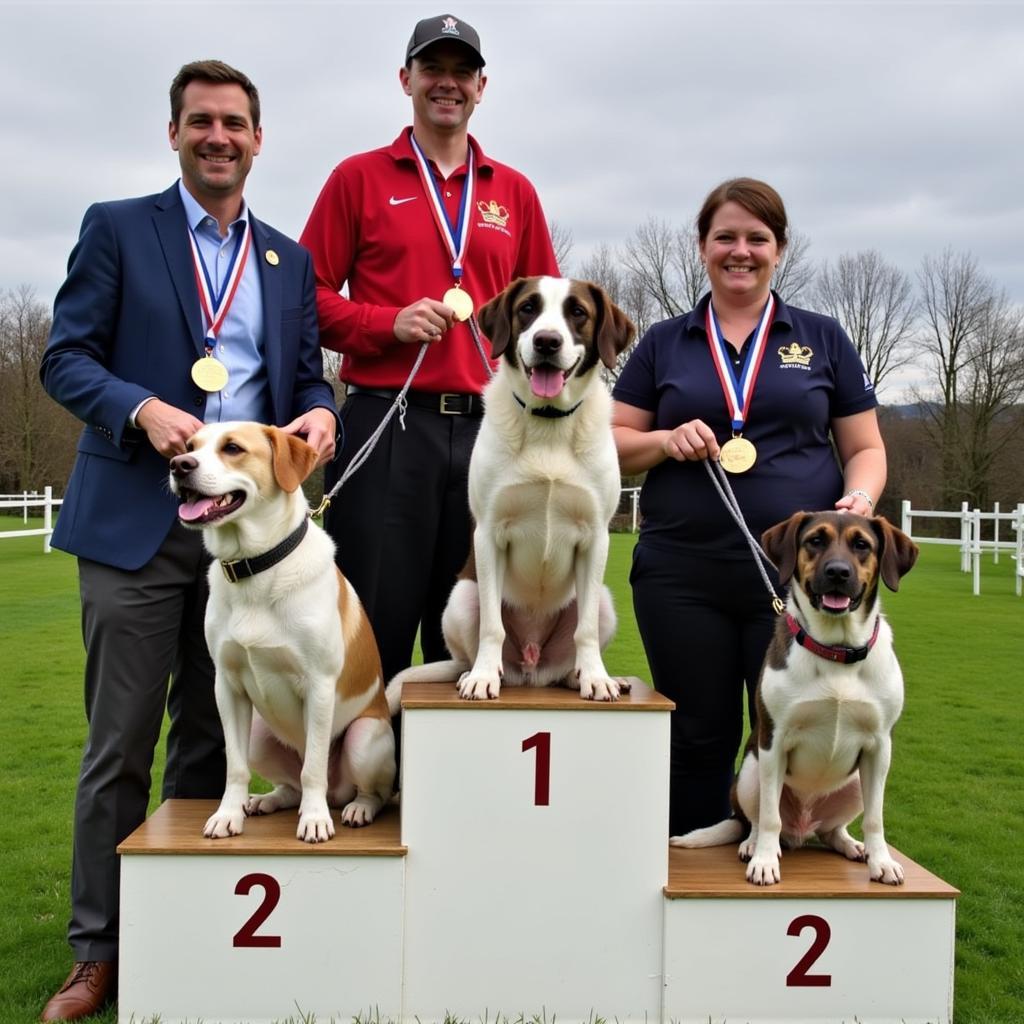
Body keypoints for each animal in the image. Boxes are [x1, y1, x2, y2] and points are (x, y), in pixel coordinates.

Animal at [167, 419, 395, 843]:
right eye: (189, 445)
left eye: (233, 448)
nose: (179, 465)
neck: (255, 567)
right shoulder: (227, 687)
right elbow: (236, 767)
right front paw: (227, 815)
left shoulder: (319, 686)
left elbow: (314, 770)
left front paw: (315, 820)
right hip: (259, 734)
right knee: (289, 786)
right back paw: (265, 801)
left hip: (363, 737)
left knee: (369, 790)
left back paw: (355, 808)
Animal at [387, 272, 634, 708]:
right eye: (528, 308)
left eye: (578, 312)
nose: (547, 342)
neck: (549, 424)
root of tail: (531, 671)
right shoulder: (489, 534)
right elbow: (492, 625)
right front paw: (484, 677)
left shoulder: (596, 537)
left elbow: (585, 628)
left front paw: (596, 678)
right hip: (460, 598)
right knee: (477, 643)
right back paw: (472, 672)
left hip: (604, 599)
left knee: (575, 644)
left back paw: (581, 676)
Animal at [671, 512, 921, 888]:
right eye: (815, 541)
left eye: (862, 544)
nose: (837, 572)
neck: (837, 651)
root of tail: (802, 828)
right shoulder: (775, 740)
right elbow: (769, 816)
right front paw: (763, 862)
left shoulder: (879, 746)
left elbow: (876, 818)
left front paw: (882, 862)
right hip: (751, 772)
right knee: (757, 819)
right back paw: (753, 844)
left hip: (854, 784)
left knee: (832, 830)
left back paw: (851, 845)